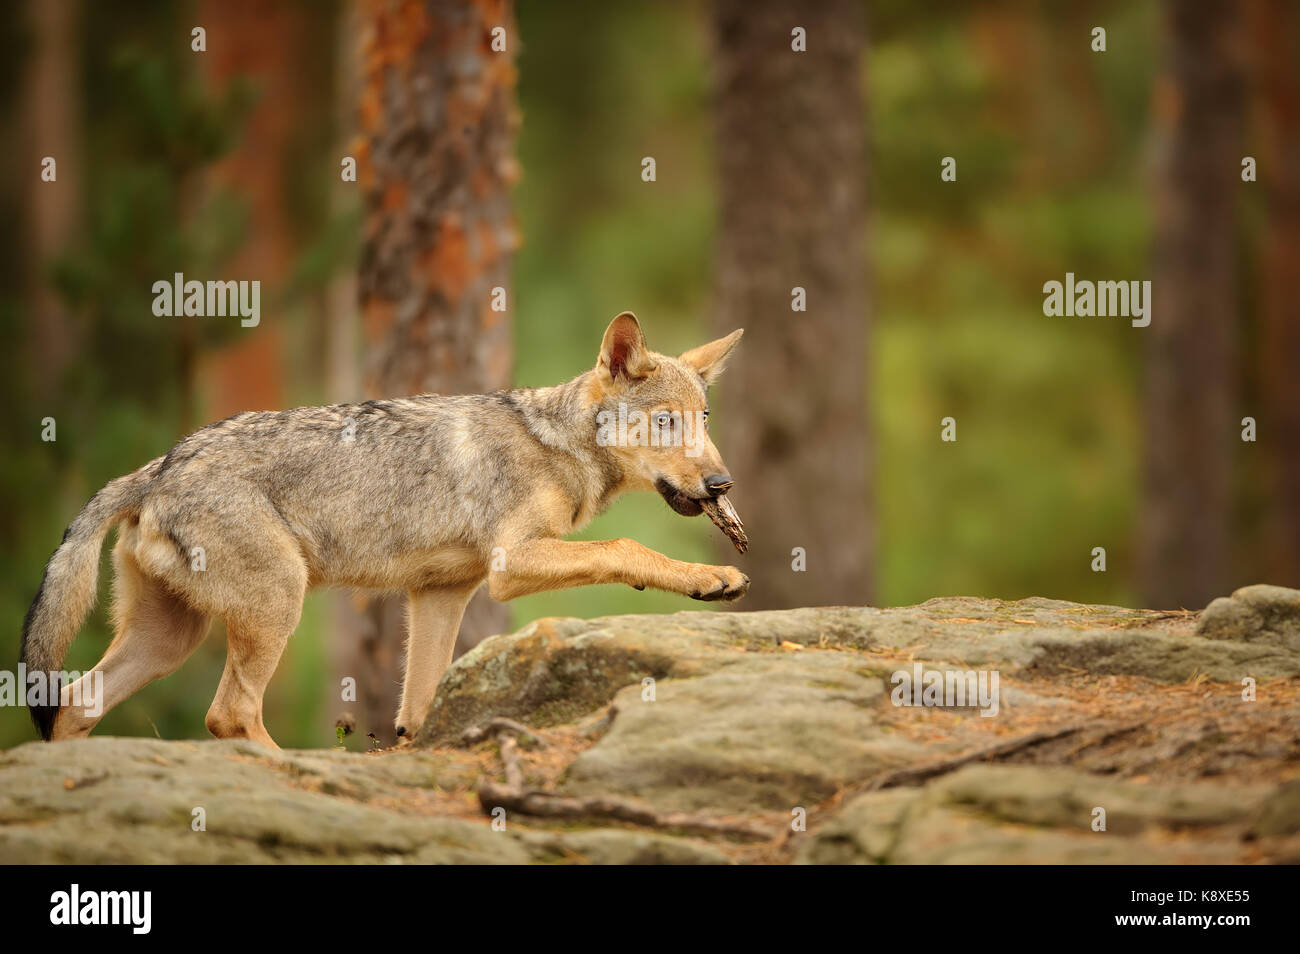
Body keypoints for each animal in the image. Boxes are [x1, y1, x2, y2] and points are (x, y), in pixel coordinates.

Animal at [20, 313, 748, 748]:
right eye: (666, 423)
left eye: (706, 419)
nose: (722, 485)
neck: (556, 445)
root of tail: (157, 467)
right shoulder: (511, 566)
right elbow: (627, 545)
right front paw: (713, 577)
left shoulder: (442, 596)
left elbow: (418, 706)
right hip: (276, 606)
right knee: (228, 715)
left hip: (171, 640)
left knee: (75, 706)